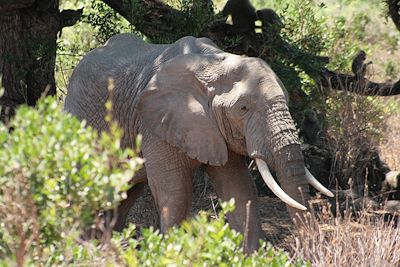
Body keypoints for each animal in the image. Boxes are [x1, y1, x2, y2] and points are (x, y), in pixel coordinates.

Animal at [64, 33, 332, 253]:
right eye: (243, 109)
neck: (212, 63)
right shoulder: (153, 123)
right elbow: (177, 192)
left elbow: (239, 189)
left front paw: (251, 256)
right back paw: (84, 248)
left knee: (124, 192)